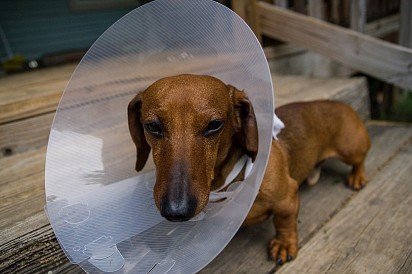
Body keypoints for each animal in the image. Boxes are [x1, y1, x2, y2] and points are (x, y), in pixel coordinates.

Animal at [128, 74, 370, 266]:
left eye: (214, 125)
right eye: (152, 126)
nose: (176, 211)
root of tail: (341, 104)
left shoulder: (287, 198)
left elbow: (284, 222)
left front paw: (284, 245)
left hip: (351, 149)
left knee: (360, 160)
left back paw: (357, 177)